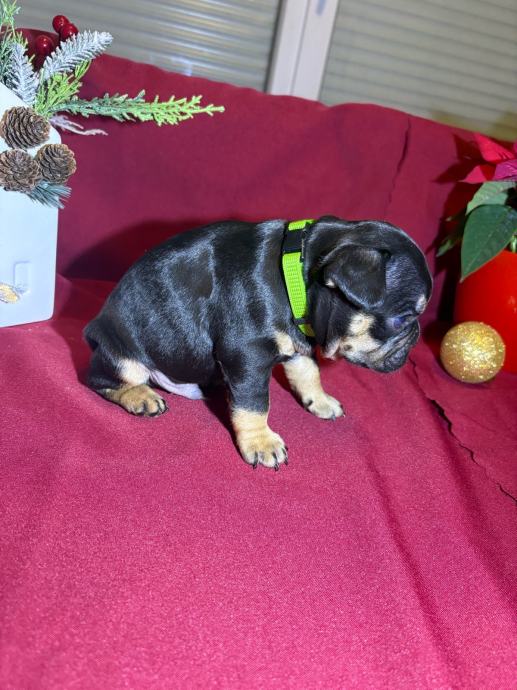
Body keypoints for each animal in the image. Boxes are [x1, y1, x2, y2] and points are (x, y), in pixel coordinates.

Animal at [84, 216, 432, 470]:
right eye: (403, 319)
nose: (416, 338)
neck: (296, 272)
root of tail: (93, 328)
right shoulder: (247, 355)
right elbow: (254, 404)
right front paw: (261, 442)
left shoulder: (299, 346)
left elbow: (309, 374)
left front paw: (320, 401)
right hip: (123, 357)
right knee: (102, 381)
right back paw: (141, 397)